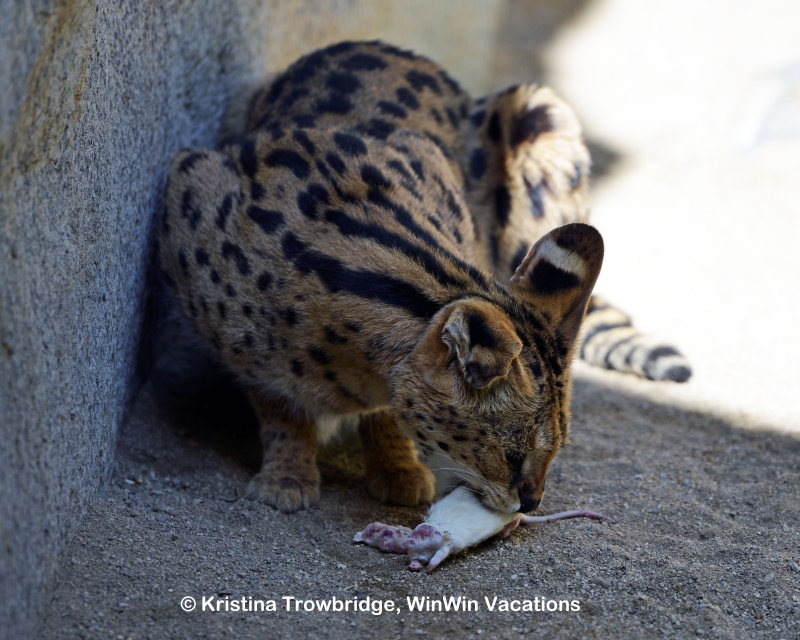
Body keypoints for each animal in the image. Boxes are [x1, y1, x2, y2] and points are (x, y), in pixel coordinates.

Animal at [159, 40, 691, 516]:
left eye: (556, 449)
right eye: (513, 456)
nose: (533, 504)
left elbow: (388, 411)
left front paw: (398, 467)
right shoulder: (190, 186)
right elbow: (275, 401)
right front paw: (287, 473)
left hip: (543, 113)